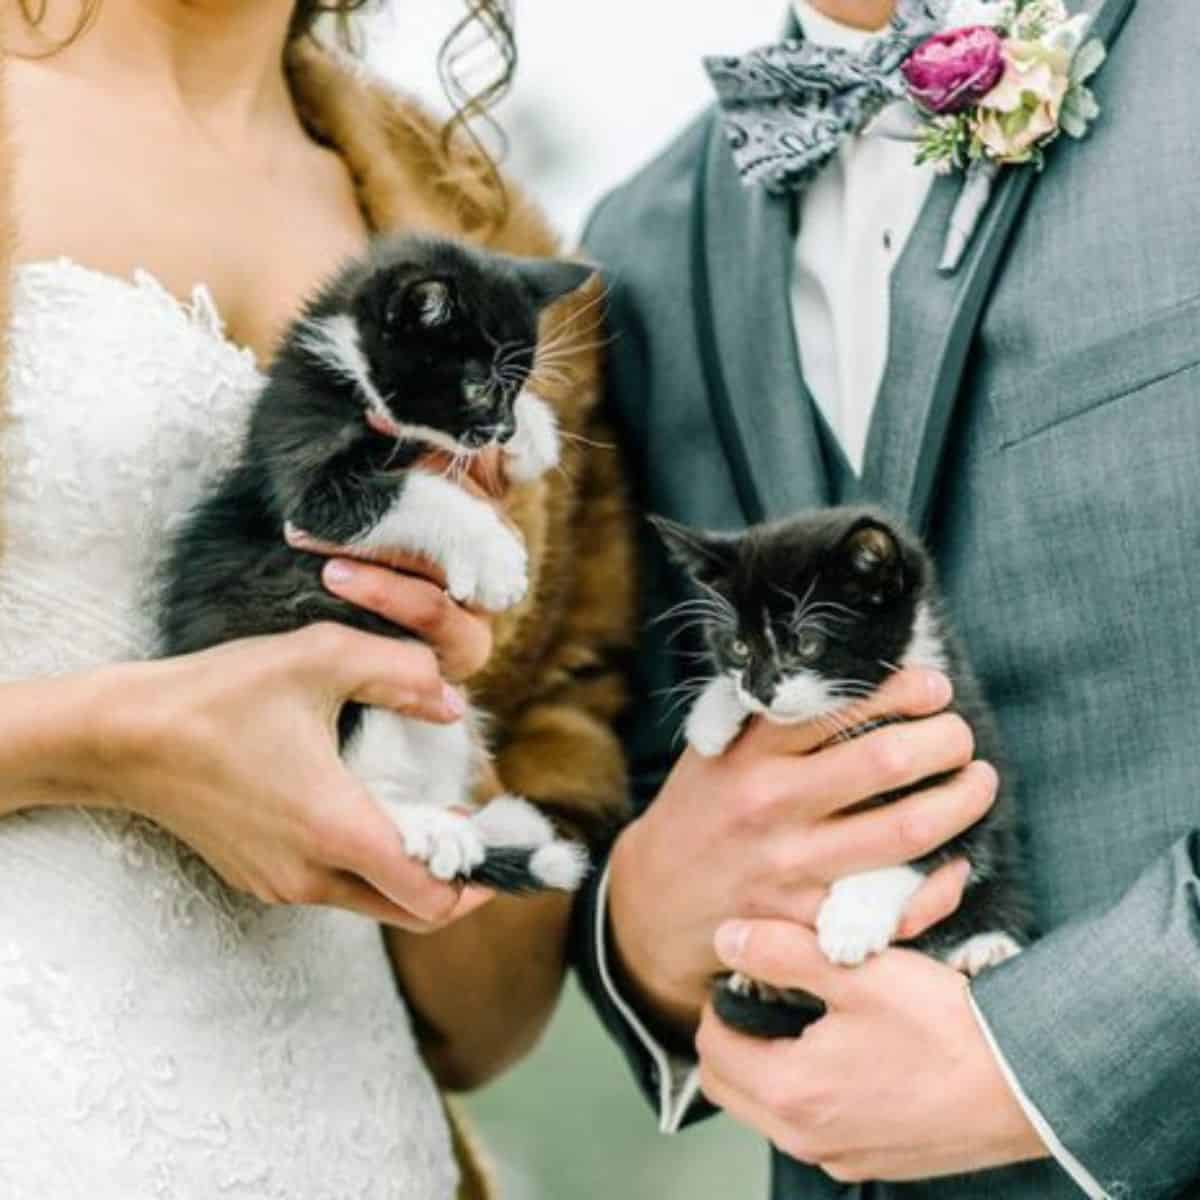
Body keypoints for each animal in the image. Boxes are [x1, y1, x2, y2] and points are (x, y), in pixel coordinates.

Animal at [166, 231, 597, 892]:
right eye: (477, 386)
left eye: (518, 383)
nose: (499, 430)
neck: (350, 370)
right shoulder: (307, 472)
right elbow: (414, 492)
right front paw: (497, 557)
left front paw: (534, 434)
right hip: (351, 700)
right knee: (361, 790)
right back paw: (435, 830)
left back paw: (496, 826)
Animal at [652, 506, 1036, 1041]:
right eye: (738, 647)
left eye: (807, 644)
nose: (762, 690)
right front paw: (711, 716)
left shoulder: (965, 753)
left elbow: (927, 838)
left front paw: (851, 922)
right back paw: (761, 984)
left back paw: (983, 947)